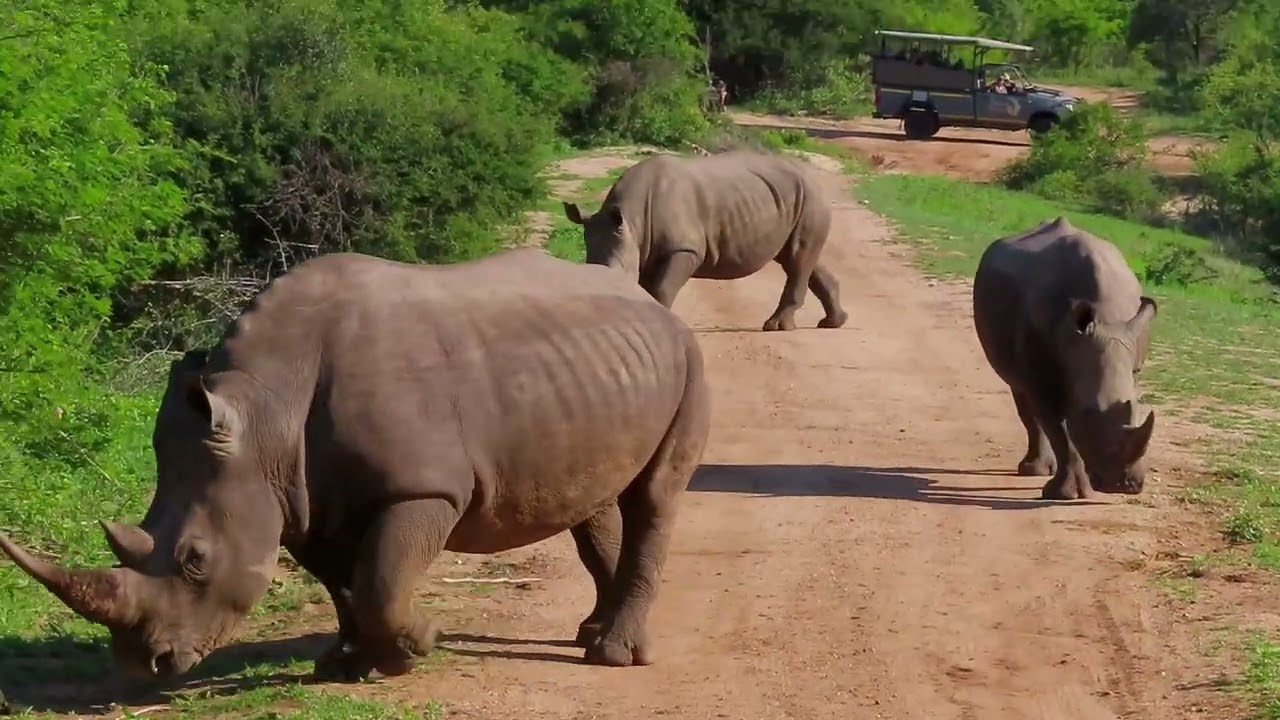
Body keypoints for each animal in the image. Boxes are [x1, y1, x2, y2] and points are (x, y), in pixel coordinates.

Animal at [0, 248, 711, 682]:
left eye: (195, 560)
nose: (142, 666)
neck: (263, 412)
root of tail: (649, 302)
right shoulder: (297, 496)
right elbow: (342, 584)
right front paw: (344, 665)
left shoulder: (422, 489)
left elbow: (380, 581)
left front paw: (414, 647)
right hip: (596, 371)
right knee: (594, 499)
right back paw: (591, 633)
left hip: (688, 357)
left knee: (654, 496)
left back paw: (614, 655)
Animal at [562, 150, 848, 332]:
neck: (633, 220)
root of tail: (815, 177)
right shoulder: (644, 250)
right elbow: (646, 291)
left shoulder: (684, 249)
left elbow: (661, 289)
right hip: (794, 199)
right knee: (799, 258)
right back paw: (833, 323)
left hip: (810, 198)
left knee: (798, 258)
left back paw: (776, 327)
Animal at [972, 217, 1158, 500]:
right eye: (1088, 414)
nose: (1122, 486)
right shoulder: (1041, 375)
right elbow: (1058, 429)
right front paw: (1065, 494)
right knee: (1020, 390)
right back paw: (1033, 471)